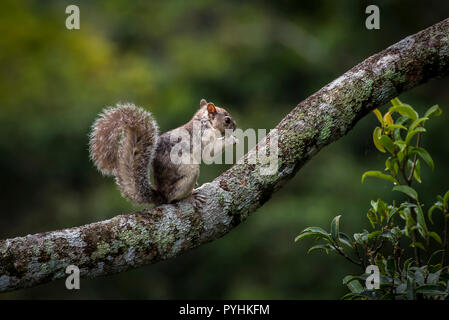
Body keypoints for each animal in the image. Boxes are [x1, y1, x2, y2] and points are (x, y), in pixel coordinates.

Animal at [87, 99, 238, 206]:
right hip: (189, 172)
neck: (205, 122)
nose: (235, 127)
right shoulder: (203, 137)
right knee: (173, 198)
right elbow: (209, 152)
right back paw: (190, 197)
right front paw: (232, 139)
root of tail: (160, 194)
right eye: (227, 120)